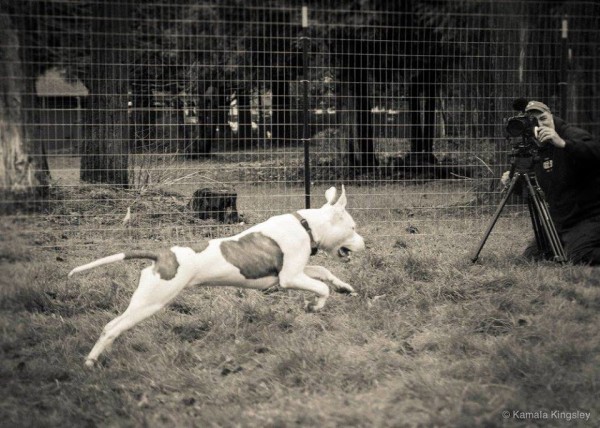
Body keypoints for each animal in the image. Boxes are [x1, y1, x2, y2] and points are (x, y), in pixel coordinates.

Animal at [68, 186, 364, 366]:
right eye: (352, 227)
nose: (365, 243)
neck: (306, 226)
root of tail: (161, 256)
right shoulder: (290, 278)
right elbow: (321, 288)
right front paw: (314, 305)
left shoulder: (295, 271)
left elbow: (325, 272)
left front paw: (344, 287)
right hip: (151, 301)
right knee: (112, 327)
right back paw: (90, 362)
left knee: (112, 326)